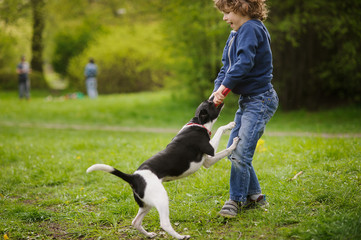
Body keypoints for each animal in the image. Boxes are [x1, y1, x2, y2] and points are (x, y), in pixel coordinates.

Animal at [86, 99, 239, 238]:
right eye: (211, 103)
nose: (218, 98)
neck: (198, 123)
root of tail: (133, 177)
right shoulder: (211, 151)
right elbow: (221, 134)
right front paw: (232, 135)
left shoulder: (208, 160)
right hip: (161, 198)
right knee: (164, 224)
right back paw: (181, 236)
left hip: (146, 204)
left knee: (136, 222)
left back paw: (149, 235)